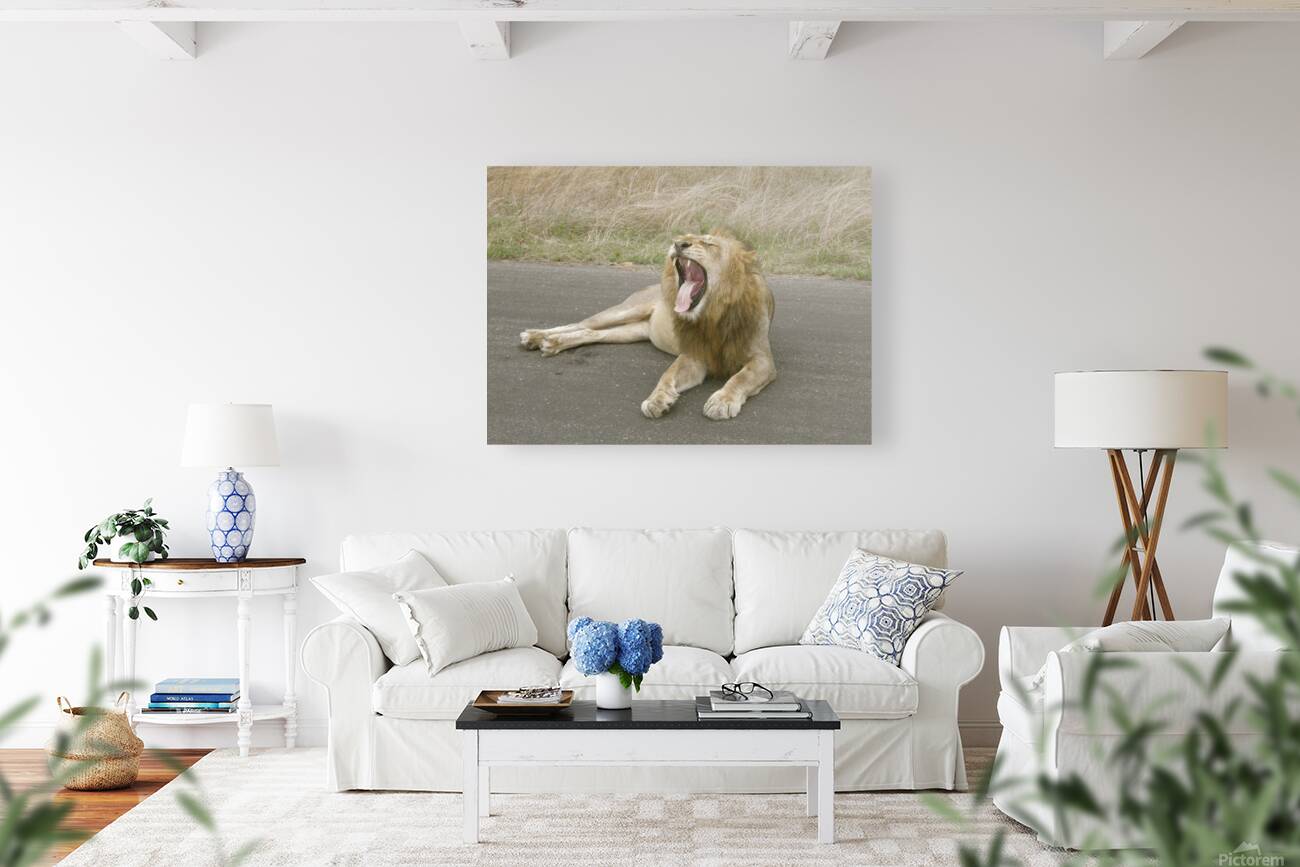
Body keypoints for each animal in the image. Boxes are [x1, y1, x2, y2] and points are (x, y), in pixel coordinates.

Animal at [519, 231, 776, 420]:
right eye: (686, 236)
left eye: (709, 243)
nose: (678, 243)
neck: (712, 315)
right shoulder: (693, 355)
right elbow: (668, 374)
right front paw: (657, 400)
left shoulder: (763, 360)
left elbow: (740, 378)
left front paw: (722, 401)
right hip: (625, 310)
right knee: (580, 323)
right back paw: (536, 337)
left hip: (629, 332)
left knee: (592, 333)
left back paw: (551, 343)